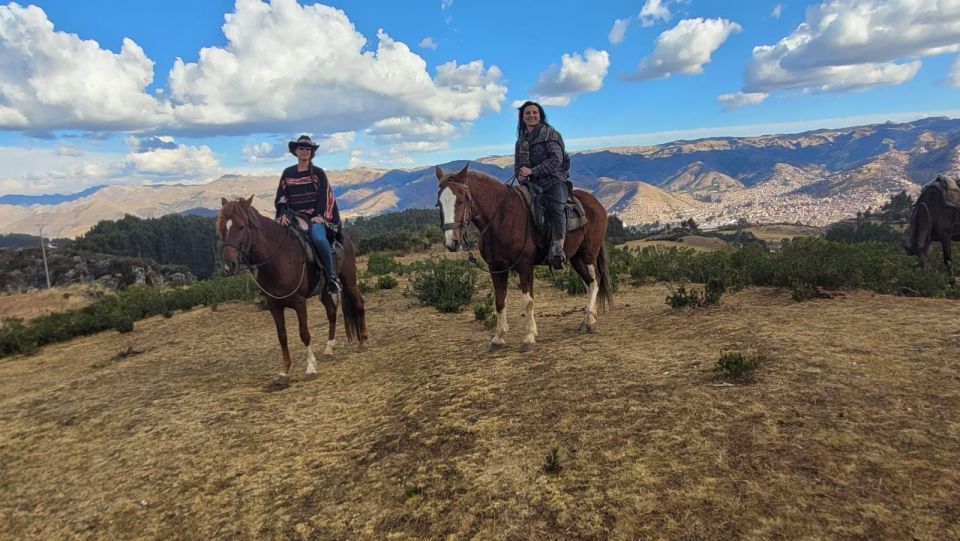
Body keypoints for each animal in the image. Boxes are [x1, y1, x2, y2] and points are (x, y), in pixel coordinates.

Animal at [218, 196, 368, 386]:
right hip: (323, 291)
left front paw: (310, 368)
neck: (278, 258)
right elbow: (282, 336)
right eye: (222, 228)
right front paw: (285, 372)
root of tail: (344, 238)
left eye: (241, 226)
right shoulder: (274, 306)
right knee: (332, 312)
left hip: (349, 281)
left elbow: (304, 333)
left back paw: (363, 342)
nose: (228, 266)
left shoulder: (299, 302)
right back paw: (329, 348)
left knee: (359, 303)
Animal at [436, 165, 612, 350]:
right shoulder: (496, 268)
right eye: (439, 203)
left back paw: (591, 321)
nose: (452, 242)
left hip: (589, 253)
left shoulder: (525, 266)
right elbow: (500, 301)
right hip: (576, 258)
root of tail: (596, 203)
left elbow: (527, 301)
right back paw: (586, 320)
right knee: (588, 283)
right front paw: (498, 338)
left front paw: (529, 336)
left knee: (595, 280)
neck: (501, 217)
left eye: (461, 200)